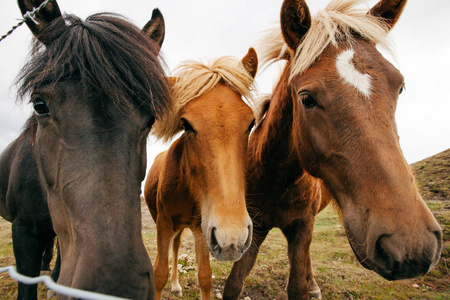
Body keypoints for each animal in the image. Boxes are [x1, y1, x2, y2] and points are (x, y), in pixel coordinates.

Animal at [143, 48, 256, 298]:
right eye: (186, 124)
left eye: (252, 123)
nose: (232, 237)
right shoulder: (163, 222)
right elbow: (159, 273)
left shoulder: (202, 228)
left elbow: (204, 276)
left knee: (177, 246)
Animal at [223, 0, 442, 300]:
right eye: (306, 98)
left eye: (399, 87)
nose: (410, 245)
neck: (276, 179)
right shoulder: (254, 226)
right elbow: (234, 284)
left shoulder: (303, 226)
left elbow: (298, 285)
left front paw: (308, 285)